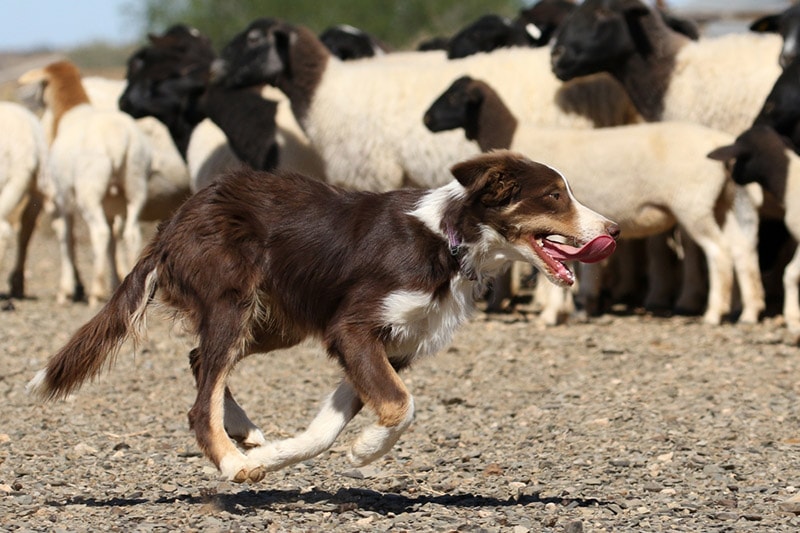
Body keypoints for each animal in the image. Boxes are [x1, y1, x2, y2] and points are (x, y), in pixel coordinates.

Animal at [18, 60, 153, 306]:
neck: (70, 113)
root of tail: (121, 141)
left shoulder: (61, 199)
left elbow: (66, 237)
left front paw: (65, 291)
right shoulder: (109, 206)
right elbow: (112, 244)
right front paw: (114, 282)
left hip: (89, 192)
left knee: (99, 233)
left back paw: (96, 292)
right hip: (135, 186)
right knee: (130, 233)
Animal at [28, 150, 620, 482]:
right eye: (555, 195)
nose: (613, 228)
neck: (449, 240)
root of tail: (174, 221)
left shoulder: (391, 345)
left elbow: (331, 428)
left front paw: (296, 454)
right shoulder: (353, 329)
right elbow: (401, 407)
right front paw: (366, 449)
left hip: (275, 320)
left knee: (199, 360)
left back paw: (246, 435)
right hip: (234, 301)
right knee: (201, 398)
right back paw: (230, 459)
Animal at [428, 75, 764, 324]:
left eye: (455, 97)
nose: (426, 120)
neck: (514, 134)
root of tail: (719, 143)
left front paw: (552, 314)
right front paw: (575, 307)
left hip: (693, 206)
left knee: (719, 253)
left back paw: (714, 313)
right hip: (722, 203)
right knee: (741, 250)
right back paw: (748, 310)